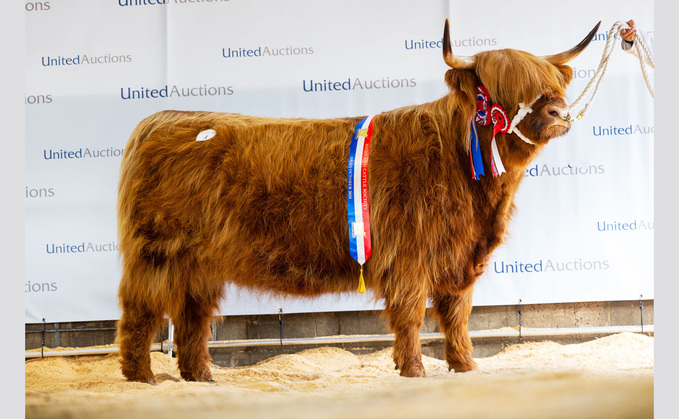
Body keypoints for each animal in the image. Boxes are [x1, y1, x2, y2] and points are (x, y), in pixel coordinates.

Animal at [115, 19, 600, 382]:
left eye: (552, 83)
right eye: (500, 89)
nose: (559, 113)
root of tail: (161, 118)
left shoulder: (458, 256)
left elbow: (456, 315)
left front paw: (465, 366)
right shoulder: (409, 255)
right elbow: (411, 315)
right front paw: (413, 370)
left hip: (198, 263)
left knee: (192, 316)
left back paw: (201, 377)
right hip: (156, 253)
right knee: (141, 311)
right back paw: (143, 378)